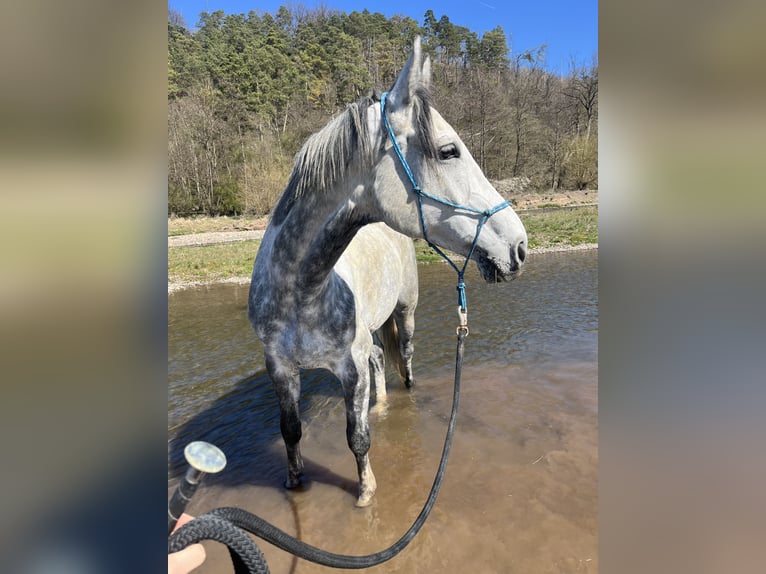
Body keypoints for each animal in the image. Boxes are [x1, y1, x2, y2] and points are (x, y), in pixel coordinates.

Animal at [248, 37, 527, 507]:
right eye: (448, 151)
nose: (519, 246)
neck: (303, 292)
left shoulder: (351, 367)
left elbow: (357, 436)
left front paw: (366, 493)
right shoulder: (281, 368)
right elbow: (291, 432)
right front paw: (294, 483)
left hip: (404, 315)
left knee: (404, 362)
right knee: (381, 360)